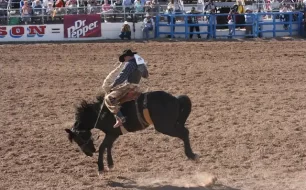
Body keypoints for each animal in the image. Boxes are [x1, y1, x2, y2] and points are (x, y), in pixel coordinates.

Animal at [64, 90, 198, 174]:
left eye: (79, 138)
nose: (89, 153)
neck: (100, 113)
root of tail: (175, 98)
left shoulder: (111, 133)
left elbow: (103, 147)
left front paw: (101, 168)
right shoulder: (113, 134)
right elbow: (108, 146)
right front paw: (110, 164)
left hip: (165, 126)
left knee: (184, 133)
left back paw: (191, 155)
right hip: (170, 125)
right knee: (185, 132)